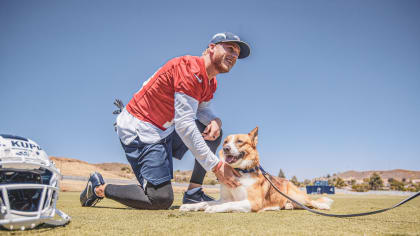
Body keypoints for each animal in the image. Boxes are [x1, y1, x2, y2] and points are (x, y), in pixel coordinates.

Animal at [179, 128, 334, 213]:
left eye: (239, 141)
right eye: (225, 142)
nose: (226, 149)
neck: (241, 172)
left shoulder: (252, 202)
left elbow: (229, 204)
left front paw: (214, 209)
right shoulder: (224, 198)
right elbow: (206, 202)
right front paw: (190, 206)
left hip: (297, 196)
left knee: (312, 202)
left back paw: (323, 206)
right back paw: (287, 206)